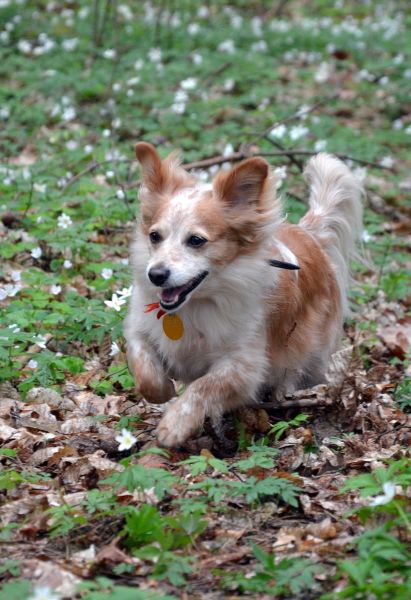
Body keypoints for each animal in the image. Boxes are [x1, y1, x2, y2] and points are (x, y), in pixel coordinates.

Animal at [124, 143, 362, 448]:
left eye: (196, 241)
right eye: (154, 236)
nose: (156, 274)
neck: (197, 303)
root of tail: (309, 235)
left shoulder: (243, 366)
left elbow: (204, 386)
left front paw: (176, 423)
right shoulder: (139, 331)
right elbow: (144, 369)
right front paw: (161, 391)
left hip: (313, 352)